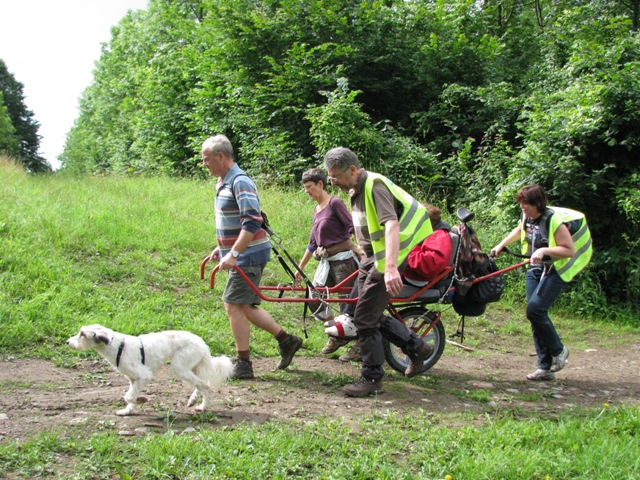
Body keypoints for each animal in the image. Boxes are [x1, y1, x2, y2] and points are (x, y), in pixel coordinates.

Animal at [65, 326, 234, 416]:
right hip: (189, 368)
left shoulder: (143, 376)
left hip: (180, 367)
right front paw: (128, 410)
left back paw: (202, 406)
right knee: (201, 383)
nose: (67, 342)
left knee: (205, 385)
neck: (118, 346)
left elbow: (128, 396)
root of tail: (203, 344)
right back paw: (193, 400)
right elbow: (130, 395)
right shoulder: (133, 379)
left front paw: (138, 401)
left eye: (82, 334)